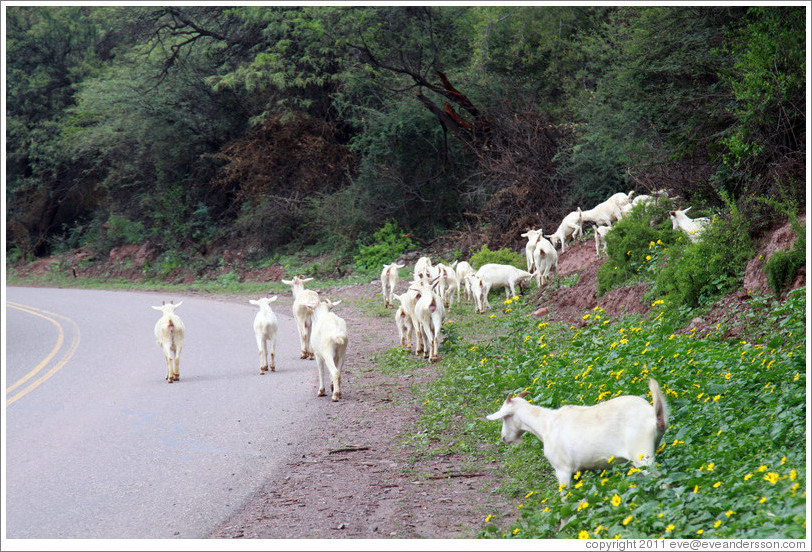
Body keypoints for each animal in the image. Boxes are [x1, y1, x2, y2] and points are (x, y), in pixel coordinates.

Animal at [486, 380, 668, 488]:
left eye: (505, 417)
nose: (504, 438)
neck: (545, 425)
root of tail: (654, 415)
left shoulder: (562, 469)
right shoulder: (579, 470)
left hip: (642, 455)